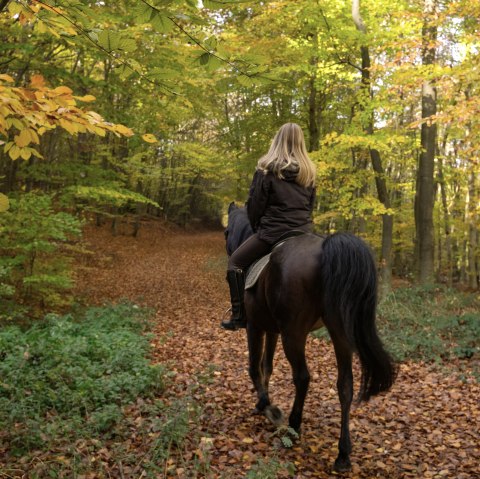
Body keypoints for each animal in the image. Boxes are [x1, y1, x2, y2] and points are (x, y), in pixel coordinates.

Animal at [225, 202, 398, 472]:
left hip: (293, 334)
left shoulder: (255, 326)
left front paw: (267, 407)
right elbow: (267, 367)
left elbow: (254, 367)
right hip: (339, 332)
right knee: (345, 386)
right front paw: (262, 403)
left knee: (302, 377)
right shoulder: (272, 328)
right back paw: (343, 454)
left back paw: (293, 426)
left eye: (226, 232)